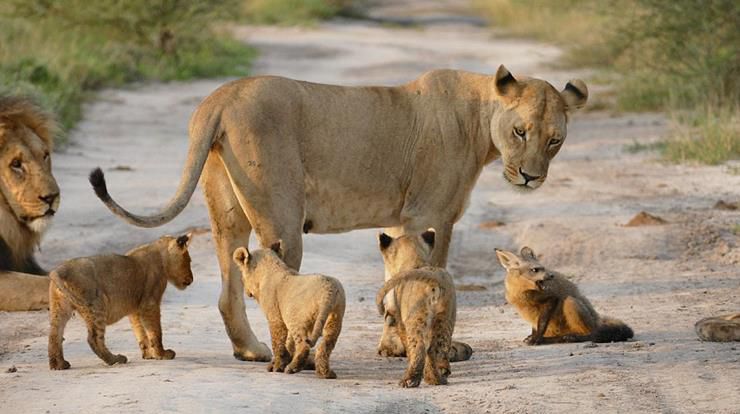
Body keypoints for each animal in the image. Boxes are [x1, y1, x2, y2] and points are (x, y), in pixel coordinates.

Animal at [47, 234, 194, 370]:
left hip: (59, 308)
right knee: (93, 339)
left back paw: (58, 365)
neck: (160, 254)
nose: (192, 279)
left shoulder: (135, 308)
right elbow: (155, 331)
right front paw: (162, 354)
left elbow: (140, 331)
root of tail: (58, 270)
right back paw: (115, 359)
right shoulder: (150, 304)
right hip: (97, 305)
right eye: (189, 260)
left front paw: (148, 354)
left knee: (54, 335)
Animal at [91, 65, 588, 362]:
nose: (531, 177)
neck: (480, 121)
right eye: (520, 131)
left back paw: (251, 351)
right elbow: (427, 278)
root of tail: (222, 97)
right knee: (273, 285)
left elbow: (396, 279)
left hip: (227, 213)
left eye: (554, 140)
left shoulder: (402, 218)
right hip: (282, 216)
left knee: (229, 290)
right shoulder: (430, 216)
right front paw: (432, 347)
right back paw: (297, 357)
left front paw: (393, 345)